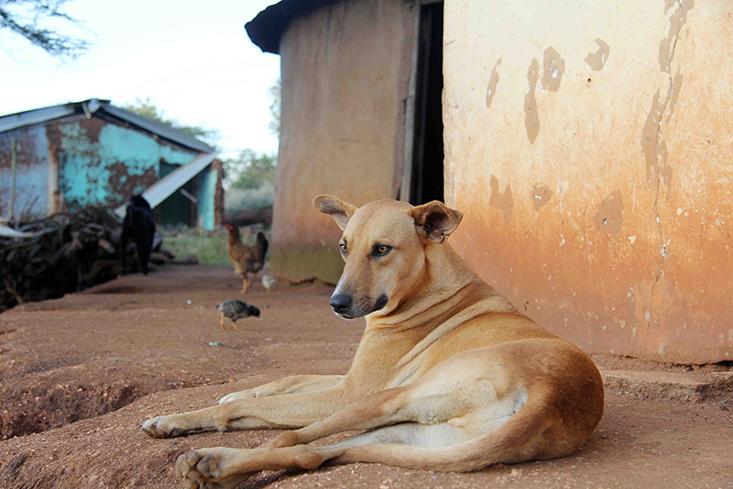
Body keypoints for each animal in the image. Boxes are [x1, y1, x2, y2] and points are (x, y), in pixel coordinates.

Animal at [140, 195, 604, 488]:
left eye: (382, 249)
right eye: (344, 247)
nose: (336, 303)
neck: (429, 286)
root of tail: (550, 396)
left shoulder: (351, 391)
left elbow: (251, 408)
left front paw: (174, 418)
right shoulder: (349, 380)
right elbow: (287, 379)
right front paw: (238, 392)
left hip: (380, 402)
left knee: (293, 439)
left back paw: (215, 460)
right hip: (411, 432)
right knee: (312, 454)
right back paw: (216, 465)